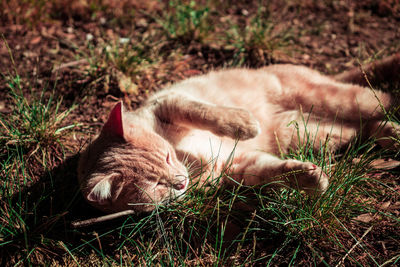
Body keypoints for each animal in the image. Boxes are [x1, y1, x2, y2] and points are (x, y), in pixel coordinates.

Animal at [76, 61, 398, 215]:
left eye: (167, 157)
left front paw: (243, 124)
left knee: (379, 99)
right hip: (309, 133)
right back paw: (389, 134)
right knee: (357, 129)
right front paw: (308, 177)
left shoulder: (167, 102)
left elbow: (203, 111)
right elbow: (275, 171)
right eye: (155, 185)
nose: (180, 182)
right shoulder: (239, 166)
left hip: (332, 99)